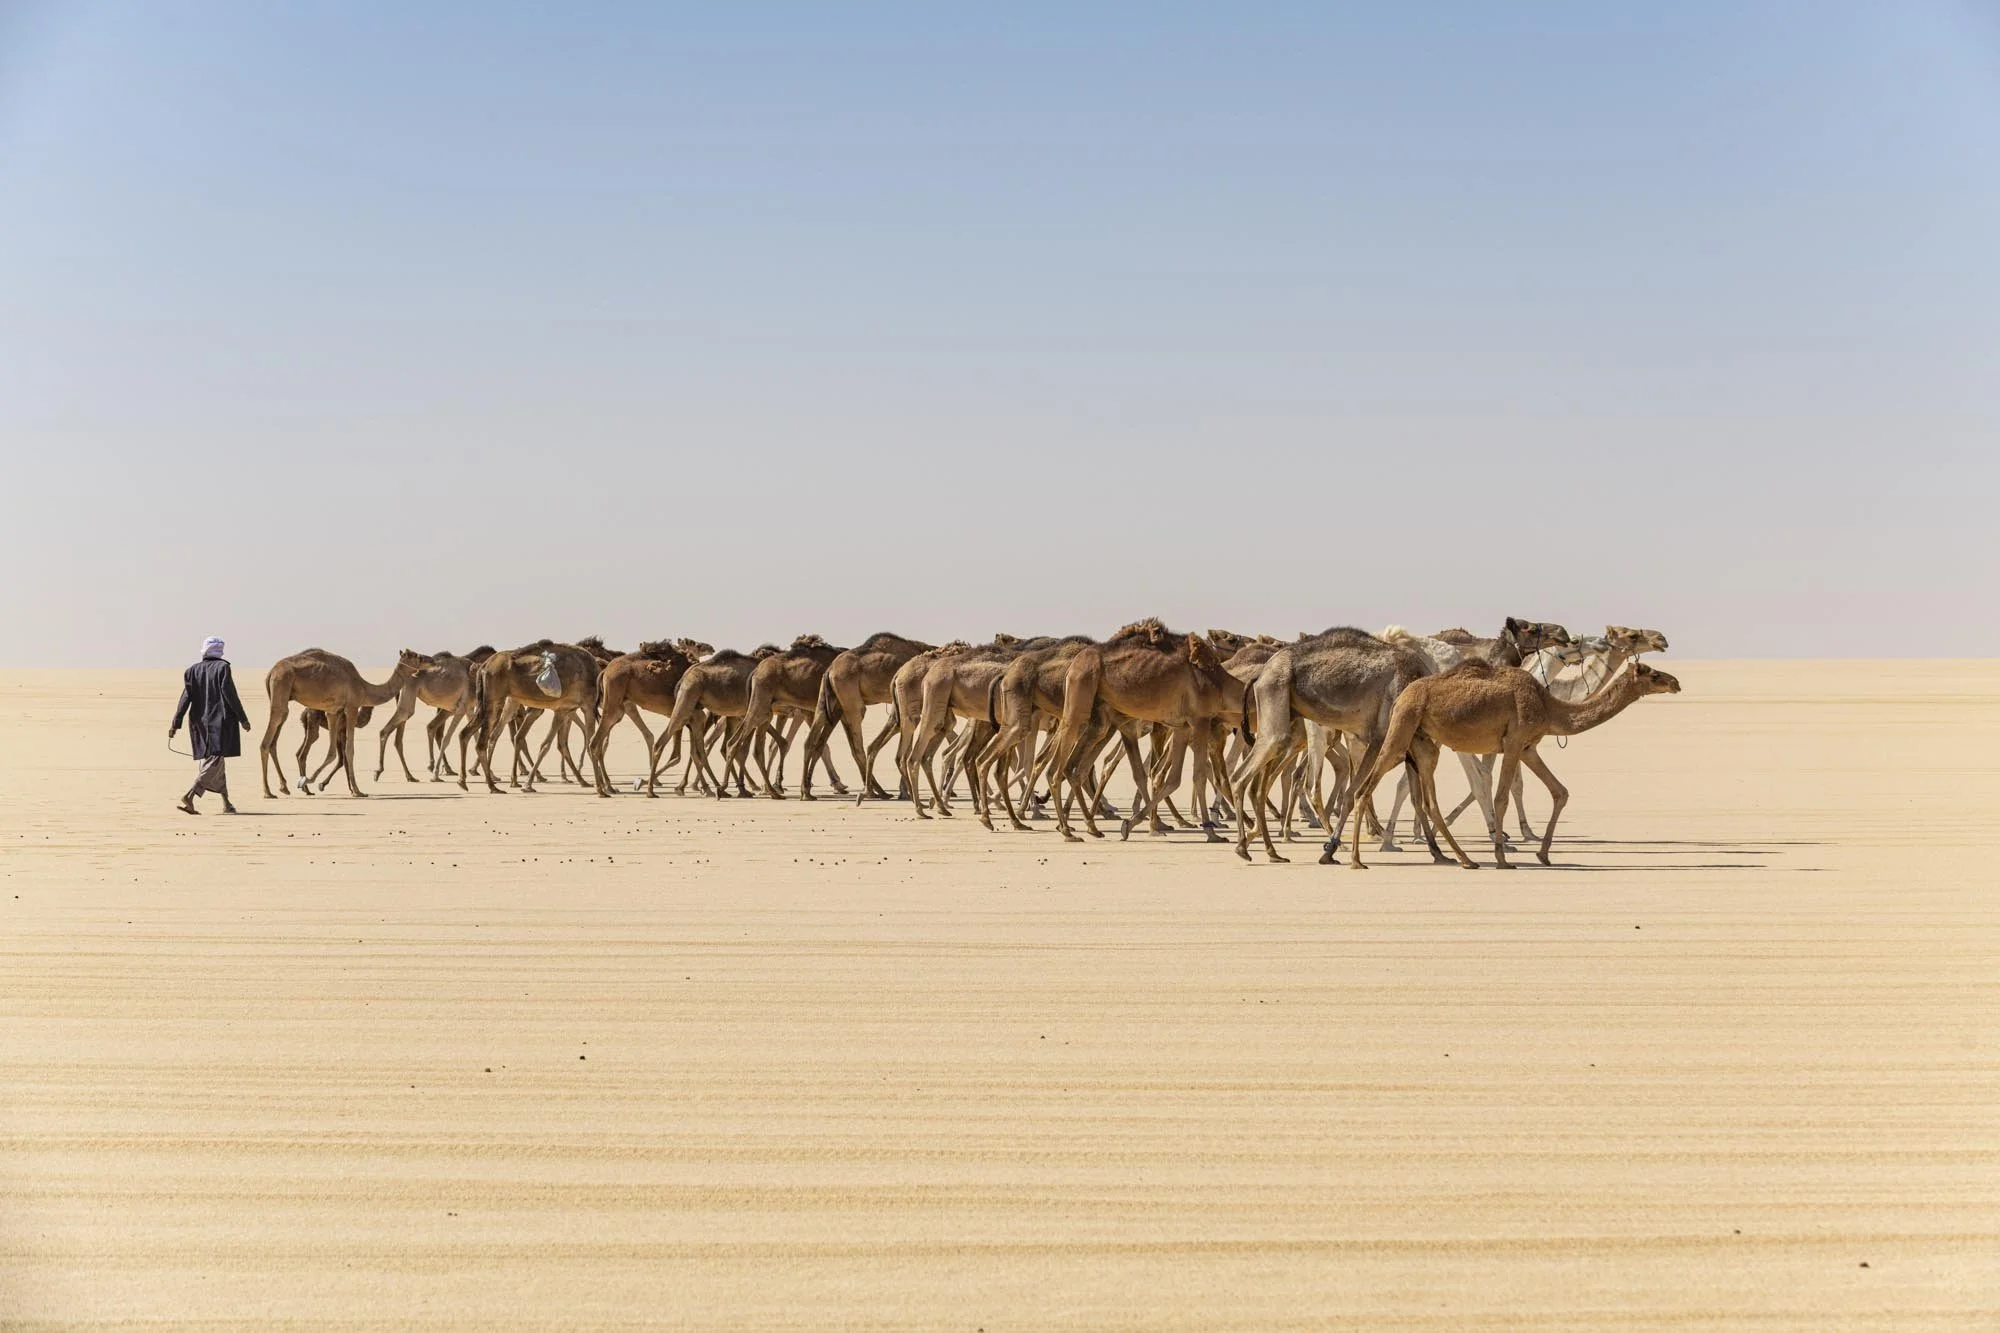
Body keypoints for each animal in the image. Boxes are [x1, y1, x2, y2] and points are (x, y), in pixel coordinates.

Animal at [258, 649, 427, 798]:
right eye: (417, 656)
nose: (429, 660)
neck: (363, 688)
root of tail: (271, 672)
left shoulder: (333, 712)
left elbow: (332, 752)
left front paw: (308, 781)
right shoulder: (351, 708)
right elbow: (349, 751)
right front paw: (357, 791)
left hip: (283, 695)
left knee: (275, 739)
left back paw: (284, 787)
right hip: (281, 684)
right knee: (267, 741)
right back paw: (268, 792)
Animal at [465, 641, 606, 794]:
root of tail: (484, 665)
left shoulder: (566, 709)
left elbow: (560, 743)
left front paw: (589, 782)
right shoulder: (583, 706)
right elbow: (587, 743)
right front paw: (602, 785)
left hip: (502, 703)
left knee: (488, 735)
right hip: (497, 701)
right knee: (493, 738)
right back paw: (496, 782)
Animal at [801, 632, 933, 800]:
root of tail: (829, 670)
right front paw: (905, 791)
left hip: (829, 702)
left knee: (812, 740)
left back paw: (806, 791)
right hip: (851, 700)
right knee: (857, 746)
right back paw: (874, 791)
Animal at [1344, 659, 1682, 870]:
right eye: (1652, 674)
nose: (1675, 681)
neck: (1549, 707)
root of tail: (1403, 694)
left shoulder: (1529, 747)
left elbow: (1560, 791)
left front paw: (1543, 854)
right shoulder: (1514, 742)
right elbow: (1501, 798)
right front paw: (1503, 858)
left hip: (1424, 742)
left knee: (1428, 801)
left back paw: (1465, 860)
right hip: (1402, 727)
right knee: (1364, 788)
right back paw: (1357, 860)